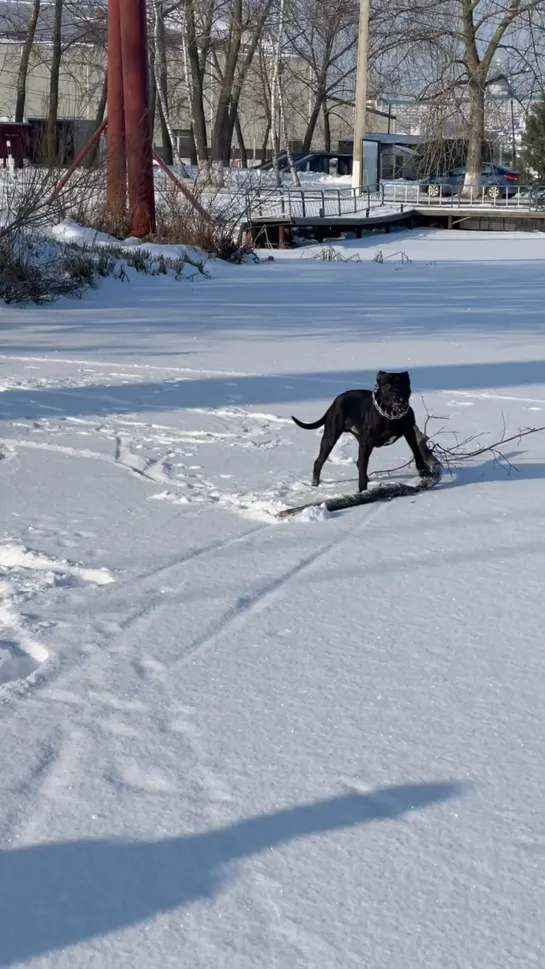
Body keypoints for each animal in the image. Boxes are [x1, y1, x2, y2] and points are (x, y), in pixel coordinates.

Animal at [288, 368, 434, 492]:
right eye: (387, 385)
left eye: (403, 384)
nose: (397, 395)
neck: (392, 415)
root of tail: (334, 402)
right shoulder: (366, 444)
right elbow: (363, 467)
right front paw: (363, 491)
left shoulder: (409, 432)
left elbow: (416, 452)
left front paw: (424, 472)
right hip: (330, 438)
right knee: (319, 462)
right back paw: (315, 484)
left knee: (359, 463)